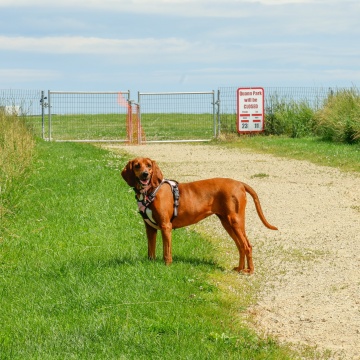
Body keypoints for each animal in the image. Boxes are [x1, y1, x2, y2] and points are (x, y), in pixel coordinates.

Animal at [122, 157, 278, 272]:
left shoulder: (166, 226)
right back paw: (240, 268)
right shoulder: (150, 228)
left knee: (247, 246)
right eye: (137, 166)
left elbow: (167, 251)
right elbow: (151, 250)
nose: (145, 174)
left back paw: (249, 270)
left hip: (235, 221)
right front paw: (152, 263)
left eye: (149, 165)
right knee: (241, 246)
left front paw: (167, 266)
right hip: (228, 223)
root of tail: (239, 183)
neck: (150, 192)